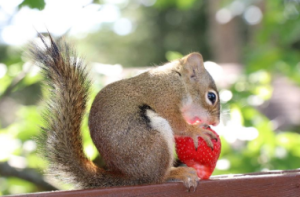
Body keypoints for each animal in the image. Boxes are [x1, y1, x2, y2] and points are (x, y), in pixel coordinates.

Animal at [30, 34, 219, 191]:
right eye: (211, 96)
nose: (216, 122)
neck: (178, 79)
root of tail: (130, 177)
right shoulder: (164, 96)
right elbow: (176, 122)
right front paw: (197, 131)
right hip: (152, 142)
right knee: (157, 178)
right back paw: (176, 173)